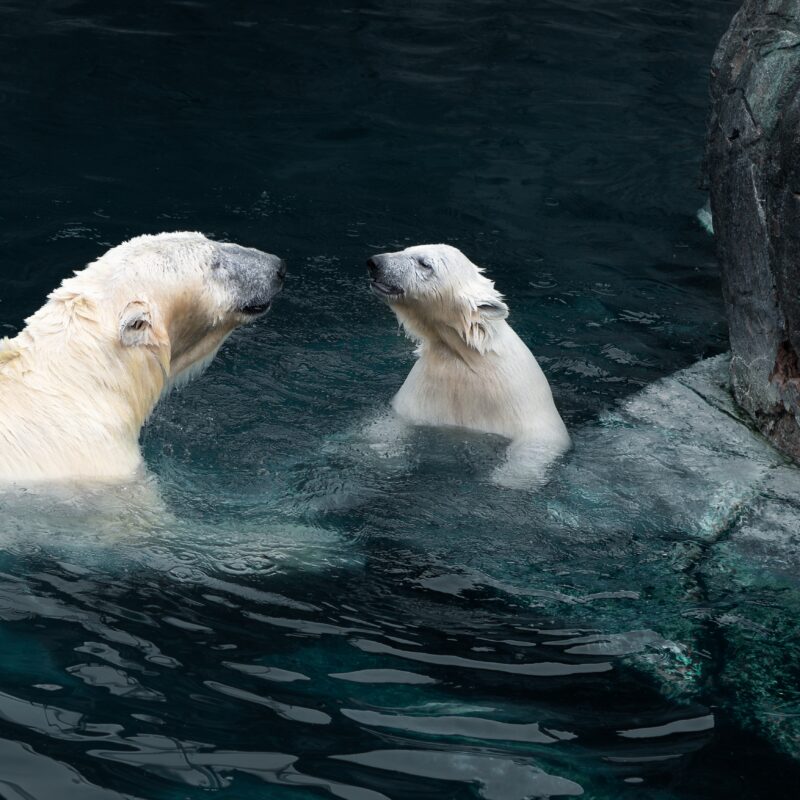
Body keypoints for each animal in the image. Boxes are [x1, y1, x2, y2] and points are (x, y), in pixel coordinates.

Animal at [367, 243, 570, 484]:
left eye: (425, 263)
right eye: (407, 250)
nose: (375, 262)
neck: (465, 357)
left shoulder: (519, 398)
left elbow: (539, 442)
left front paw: (506, 480)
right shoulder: (426, 390)